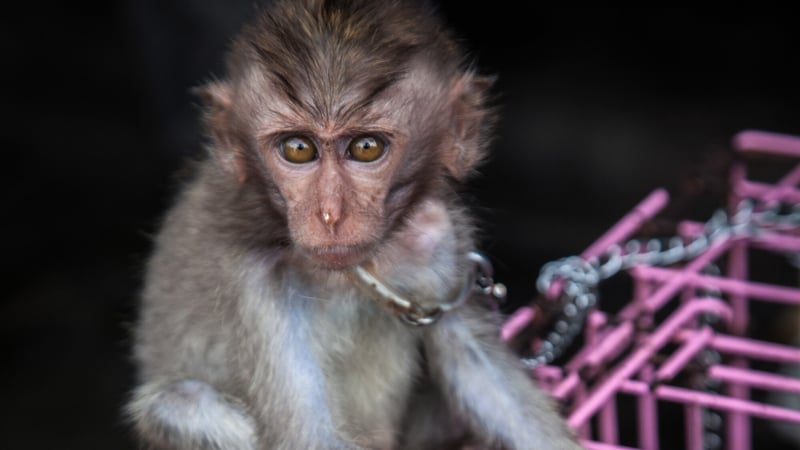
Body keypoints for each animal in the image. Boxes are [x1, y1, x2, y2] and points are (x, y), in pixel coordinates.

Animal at [128, 0, 584, 450]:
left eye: (367, 148)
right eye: (298, 149)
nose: (330, 215)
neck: (343, 276)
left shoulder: (440, 234)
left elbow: (478, 368)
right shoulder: (252, 282)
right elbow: (307, 436)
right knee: (183, 403)